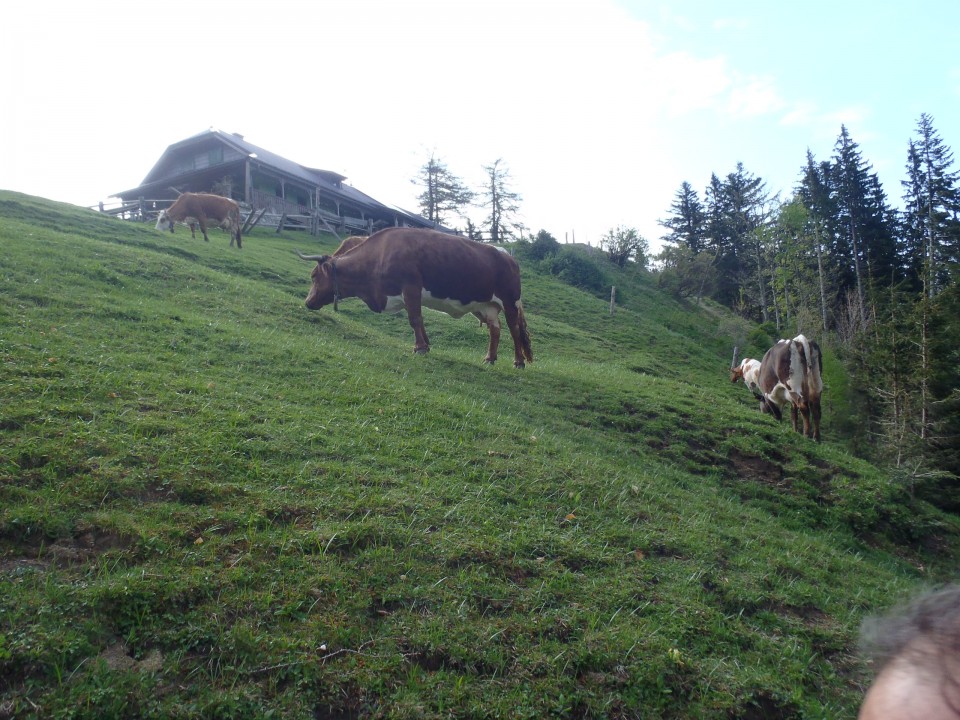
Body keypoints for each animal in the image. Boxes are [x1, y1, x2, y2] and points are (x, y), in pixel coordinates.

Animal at [296, 229, 536, 368]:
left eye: (314, 275)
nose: (308, 302)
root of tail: (507, 256)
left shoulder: (411, 286)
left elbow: (414, 319)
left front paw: (419, 348)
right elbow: (418, 319)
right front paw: (426, 345)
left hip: (509, 301)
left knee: (514, 330)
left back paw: (518, 361)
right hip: (486, 306)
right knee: (495, 329)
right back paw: (490, 358)